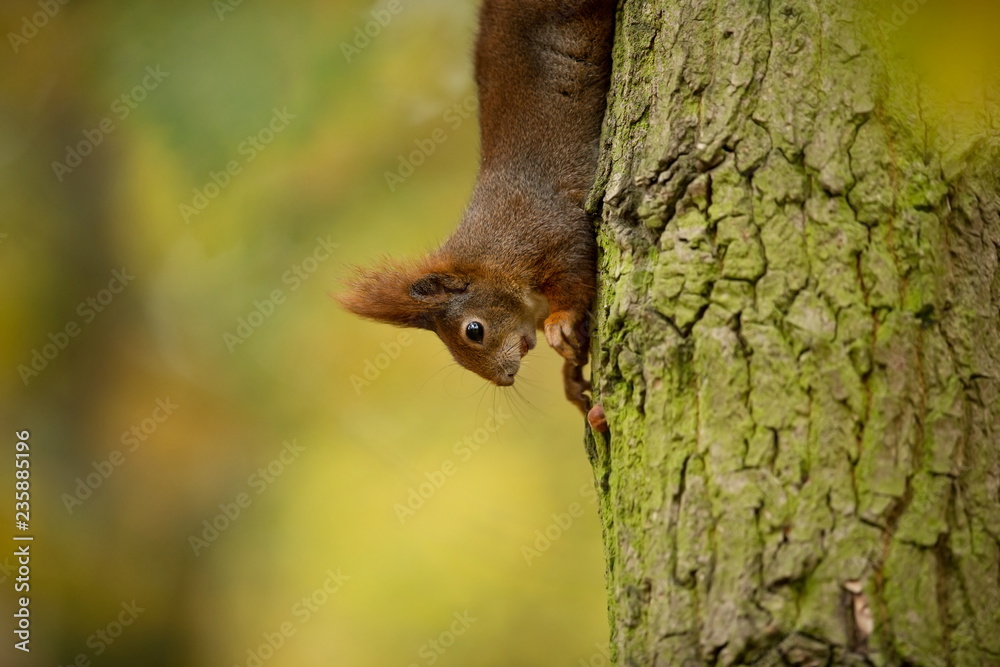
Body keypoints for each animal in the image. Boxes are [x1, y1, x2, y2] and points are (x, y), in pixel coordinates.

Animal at [340, 0, 612, 426]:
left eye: (473, 330)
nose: (504, 378)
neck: (490, 260)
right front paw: (571, 377)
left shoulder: (547, 230)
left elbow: (575, 273)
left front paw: (561, 322)